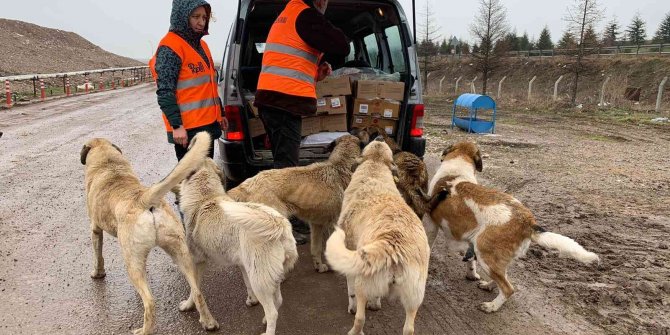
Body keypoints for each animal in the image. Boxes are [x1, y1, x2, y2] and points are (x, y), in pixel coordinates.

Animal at [80, 133, 218, 334]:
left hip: (131, 261)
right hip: (180, 252)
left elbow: (98, 255)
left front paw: (97, 273)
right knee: (197, 291)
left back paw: (143, 330)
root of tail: (143, 200)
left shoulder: (95, 229)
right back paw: (208, 322)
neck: (109, 164)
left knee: (150, 302)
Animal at [177, 159, 298, 335]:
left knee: (273, 312)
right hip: (269, 276)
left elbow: (195, 289)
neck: (205, 197)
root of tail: (278, 224)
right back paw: (264, 320)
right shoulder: (243, 264)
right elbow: (246, 283)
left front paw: (188, 305)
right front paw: (251, 300)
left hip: (259, 280)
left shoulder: (196, 262)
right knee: (278, 301)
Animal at [227, 135, 364, 272]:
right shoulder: (334, 225)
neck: (339, 167)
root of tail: (249, 184)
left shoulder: (316, 225)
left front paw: (319, 266)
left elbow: (316, 249)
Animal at [326, 138, 430, 335]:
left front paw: (353, 306)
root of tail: (393, 246)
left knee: (360, 318)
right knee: (409, 328)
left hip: (362, 282)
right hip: (415, 297)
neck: (375, 167)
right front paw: (376, 304)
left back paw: (354, 330)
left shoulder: (351, 255)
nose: (380, 138)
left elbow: (350, 291)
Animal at [428, 140, 600, 314]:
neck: (457, 168)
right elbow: (470, 261)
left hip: (484, 253)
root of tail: (527, 221)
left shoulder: (431, 224)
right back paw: (489, 285)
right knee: (503, 277)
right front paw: (472, 274)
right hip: (493, 256)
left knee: (508, 288)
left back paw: (492, 306)